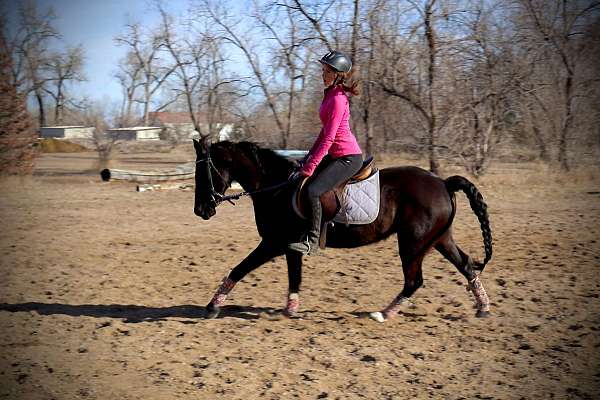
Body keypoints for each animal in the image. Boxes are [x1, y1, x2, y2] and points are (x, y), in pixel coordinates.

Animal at [195, 140, 494, 322]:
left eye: (204, 173)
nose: (201, 210)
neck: (276, 188)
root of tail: (443, 183)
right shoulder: (290, 246)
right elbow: (294, 277)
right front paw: (291, 309)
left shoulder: (273, 243)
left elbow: (240, 268)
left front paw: (212, 306)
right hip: (439, 239)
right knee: (466, 265)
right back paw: (483, 308)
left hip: (413, 244)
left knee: (414, 281)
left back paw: (383, 314)